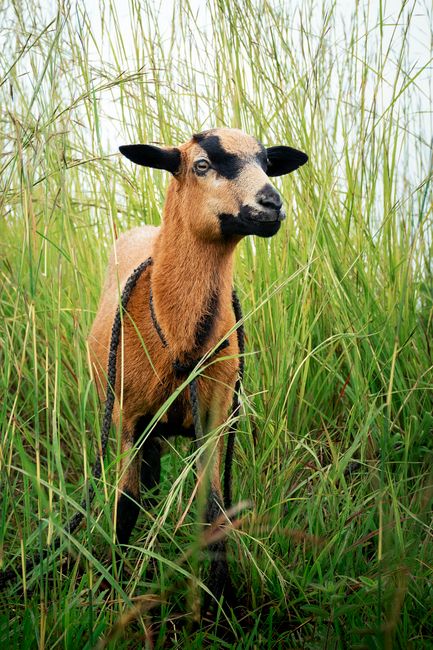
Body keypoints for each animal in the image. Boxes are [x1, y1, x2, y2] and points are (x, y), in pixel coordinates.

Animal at [88, 127, 308, 604]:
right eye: (201, 165)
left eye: (266, 163)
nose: (271, 203)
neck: (179, 334)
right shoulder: (127, 416)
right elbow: (124, 505)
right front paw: (114, 587)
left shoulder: (215, 416)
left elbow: (214, 512)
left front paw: (221, 604)